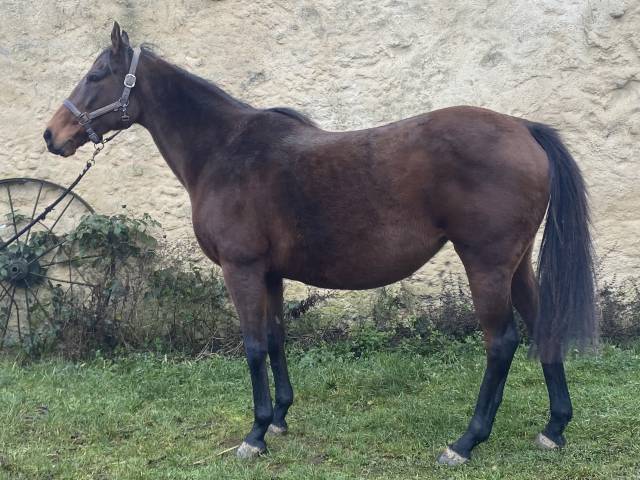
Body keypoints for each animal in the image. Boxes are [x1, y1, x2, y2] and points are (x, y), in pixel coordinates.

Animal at [44, 22, 596, 464]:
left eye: (96, 75)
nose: (52, 135)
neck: (225, 151)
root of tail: (522, 128)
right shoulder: (269, 274)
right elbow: (275, 339)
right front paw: (280, 419)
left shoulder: (242, 270)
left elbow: (252, 346)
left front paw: (255, 435)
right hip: (516, 265)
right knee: (543, 325)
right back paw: (554, 429)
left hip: (485, 265)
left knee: (500, 343)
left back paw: (465, 443)